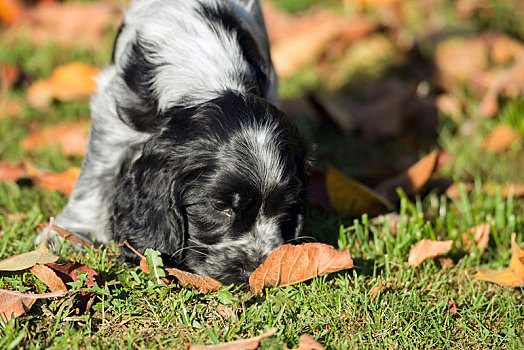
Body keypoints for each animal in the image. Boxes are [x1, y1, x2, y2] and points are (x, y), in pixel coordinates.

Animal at [45, 0, 310, 286]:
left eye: (285, 207)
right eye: (220, 207)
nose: (257, 270)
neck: (210, 72)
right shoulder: (114, 114)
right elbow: (96, 174)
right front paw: (71, 232)